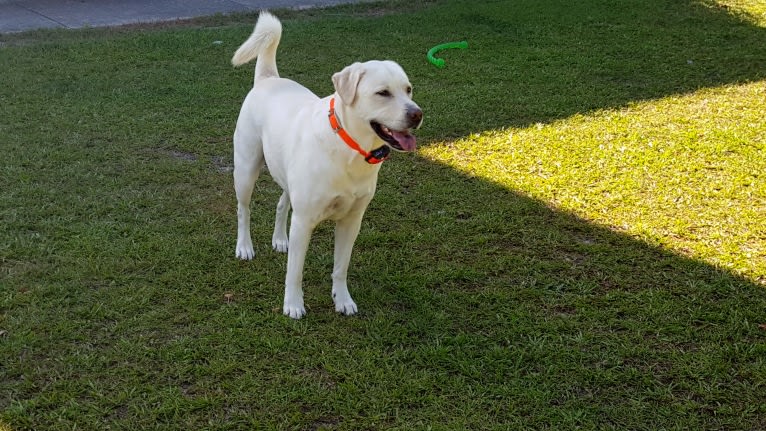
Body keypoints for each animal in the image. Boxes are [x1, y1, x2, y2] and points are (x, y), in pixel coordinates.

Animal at [231, 11, 424, 318]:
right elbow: (295, 271)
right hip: (246, 170)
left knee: (282, 204)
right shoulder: (304, 221)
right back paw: (244, 246)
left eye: (408, 90)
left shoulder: (352, 221)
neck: (350, 149)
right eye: (383, 93)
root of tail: (268, 78)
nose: (417, 114)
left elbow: (340, 268)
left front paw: (342, 300)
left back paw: (280, 239)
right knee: (243, 209)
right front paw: (293, 304)